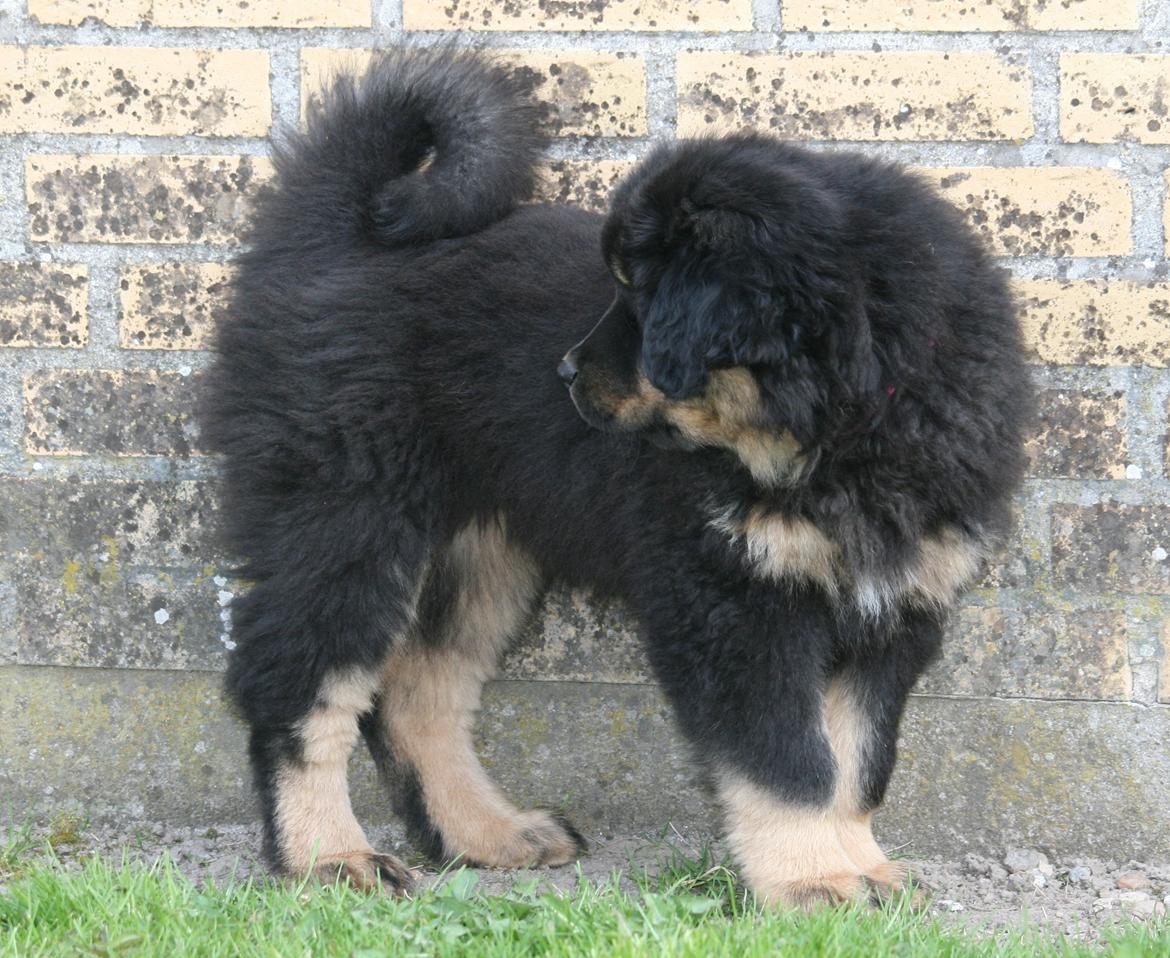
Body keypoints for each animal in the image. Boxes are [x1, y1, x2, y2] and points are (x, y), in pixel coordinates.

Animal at [201, 48, 1034, 912]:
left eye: (639, 291)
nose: (564, 370)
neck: (846, 438)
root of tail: (342, 234)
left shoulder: (893, 613)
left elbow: (860, 763)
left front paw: (863, 870)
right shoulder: (733, 605)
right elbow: (788, 761)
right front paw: (813, 880)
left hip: (478, 549)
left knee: (416, 693)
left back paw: (486, 834)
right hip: (350, 514)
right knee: (299, 683)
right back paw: (327, 857)